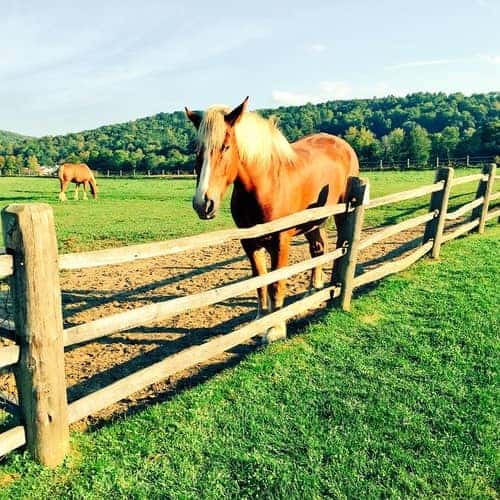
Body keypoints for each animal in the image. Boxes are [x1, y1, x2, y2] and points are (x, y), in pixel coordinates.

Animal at [186, 96, 358, 342]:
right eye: (197, 150)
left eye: (226, 146)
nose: (203, 203)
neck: (264, 185)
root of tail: (344, 146)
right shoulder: (249, 243)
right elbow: (260, 281)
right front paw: (261, 322)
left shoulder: (280, 242)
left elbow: (276, 283)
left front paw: (275, 328)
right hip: (313, 222)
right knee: (318, 249)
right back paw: (312, 291)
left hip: (341, 213)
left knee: (338, 248)